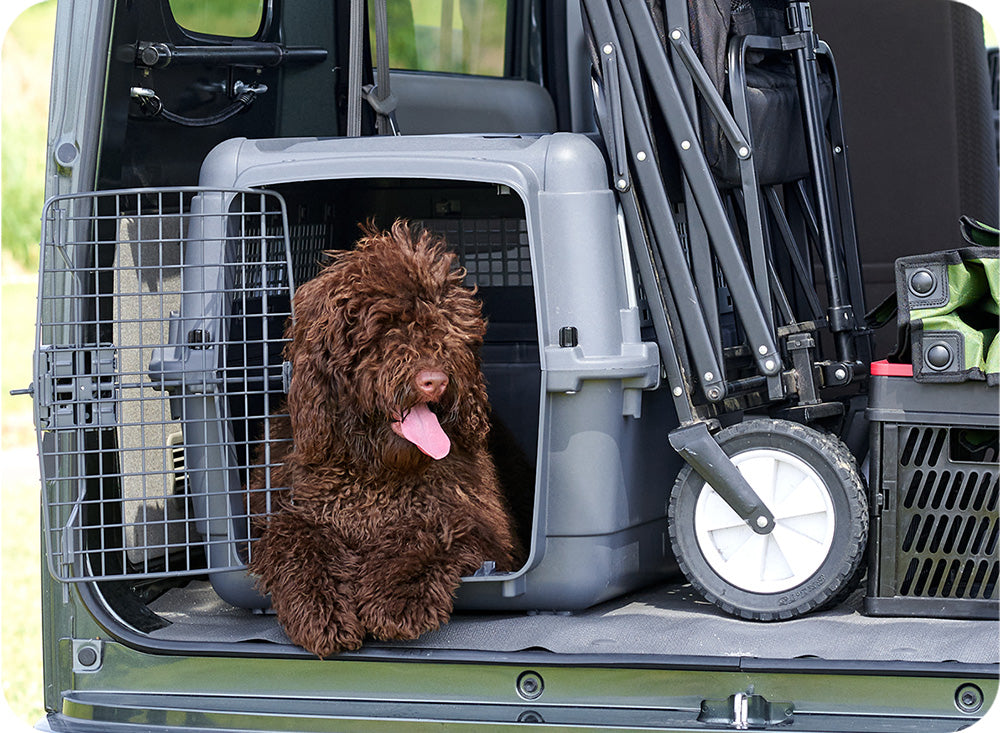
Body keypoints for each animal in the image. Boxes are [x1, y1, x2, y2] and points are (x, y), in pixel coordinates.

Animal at [247, 219, 520, 656]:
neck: (373, 475)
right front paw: (320, 609)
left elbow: (431, 528)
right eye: (385, 327)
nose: (435, 380)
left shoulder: (481, 525)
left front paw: (394, 597)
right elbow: (297, 536)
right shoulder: (286, 511)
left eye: (443, 325)